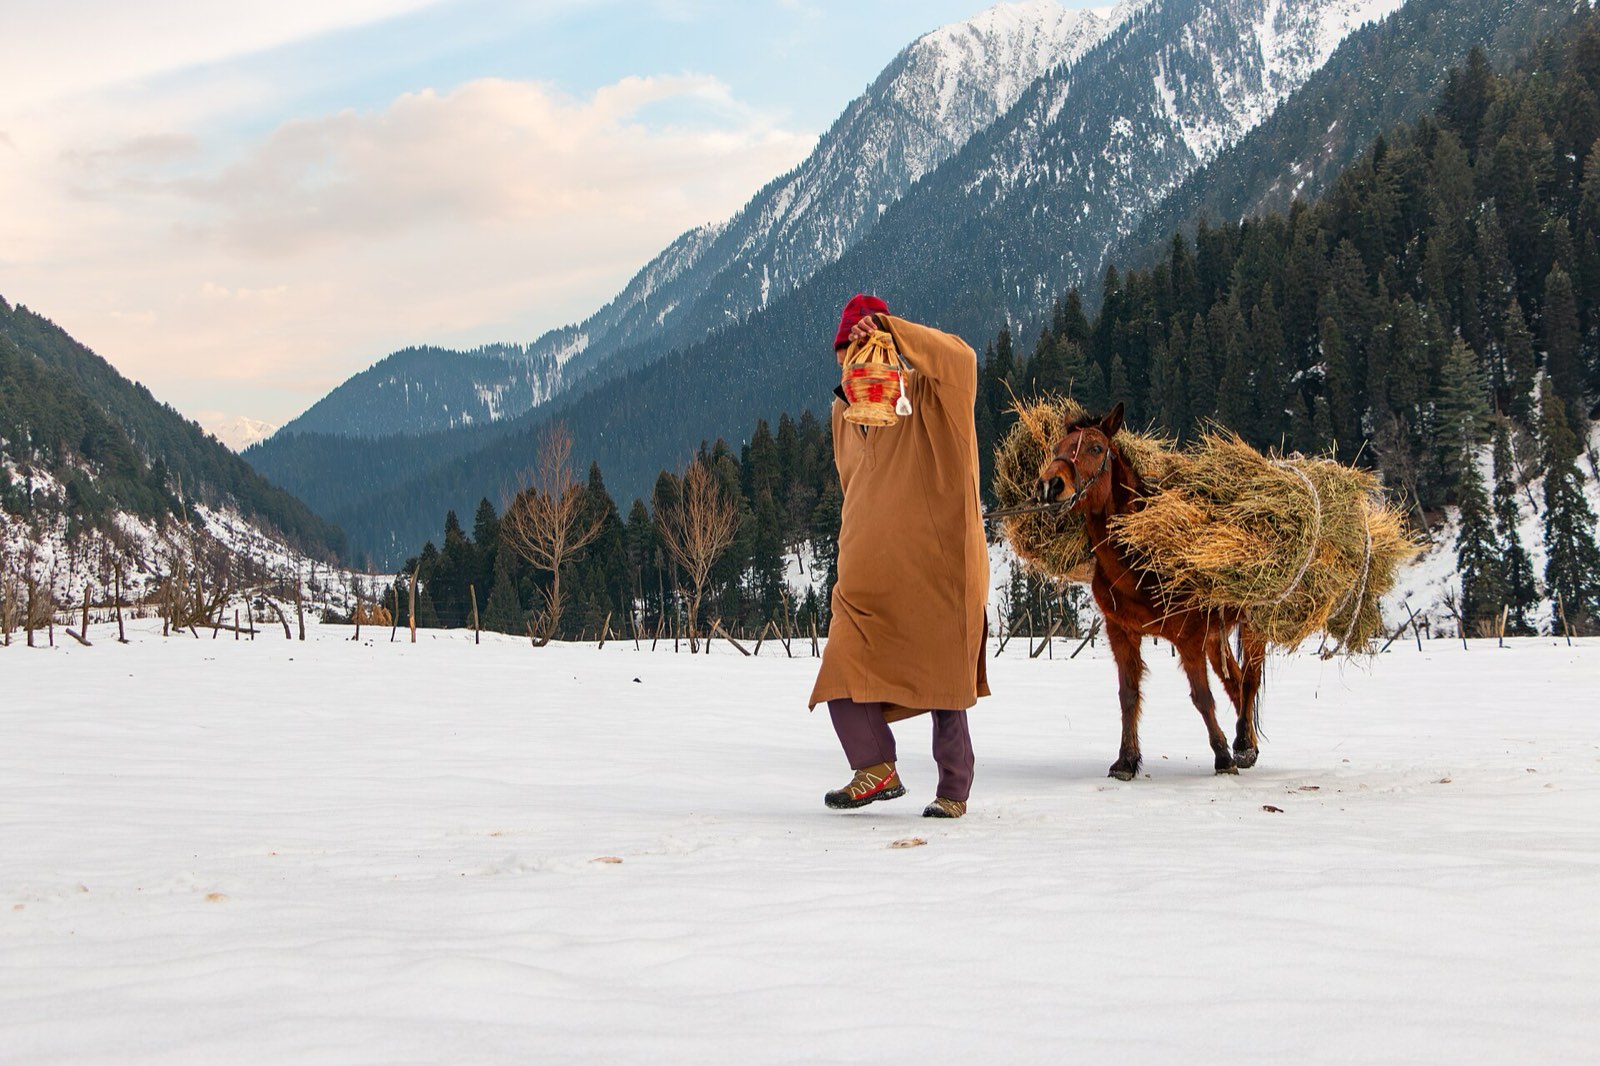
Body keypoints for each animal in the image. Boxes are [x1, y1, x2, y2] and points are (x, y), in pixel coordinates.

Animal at [1033, 403, 1266, 780]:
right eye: (1057, 448)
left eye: (1096, 448)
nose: (1050, 485)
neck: (1140, 560)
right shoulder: (1122, 632)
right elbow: (1128, 695)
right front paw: (1126, 760)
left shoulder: (1188, 638)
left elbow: (1202, 697)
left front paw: (1222, 756)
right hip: (1215, 636)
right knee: (1236, 681)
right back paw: (1248, 744)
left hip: (1254, 625)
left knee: (1250, 681)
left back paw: (1243, 745)